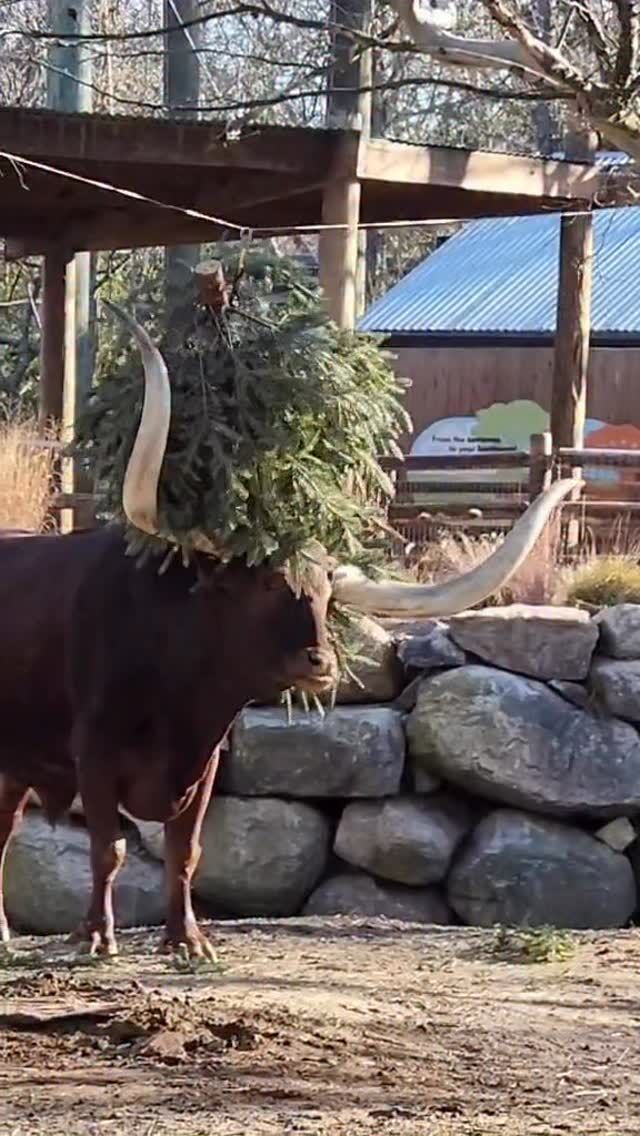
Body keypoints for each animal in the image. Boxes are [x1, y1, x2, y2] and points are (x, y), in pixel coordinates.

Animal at [0, 306, 578, 958]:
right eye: (263, 588)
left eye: (326, 594)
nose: (320, 663)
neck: (178, 690)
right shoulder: (94, 751)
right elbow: (109, 849)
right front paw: (98, 937)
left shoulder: (203, 765)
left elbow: (185, 852)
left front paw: (187, 939)